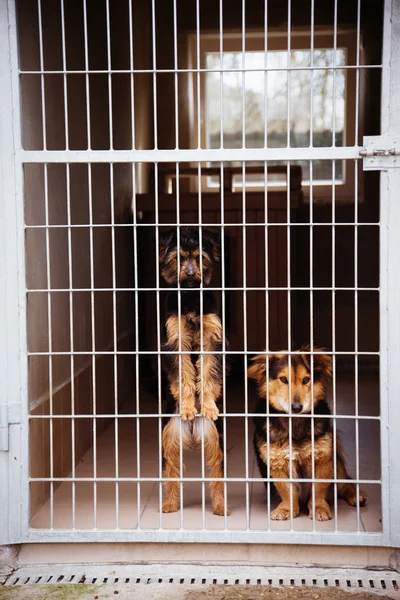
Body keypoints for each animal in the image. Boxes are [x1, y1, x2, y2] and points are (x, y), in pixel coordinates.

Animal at [248, 350, 368, 524]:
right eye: (283, 380)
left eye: (306, 380)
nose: (297, 408)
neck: (296, 423)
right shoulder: (277, 462)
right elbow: (287, 490)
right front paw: (287, 509)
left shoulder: (323, 458)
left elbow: (318, 488)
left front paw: (319, 509)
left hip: (336, 460)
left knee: (345, 483)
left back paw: (356, 496)